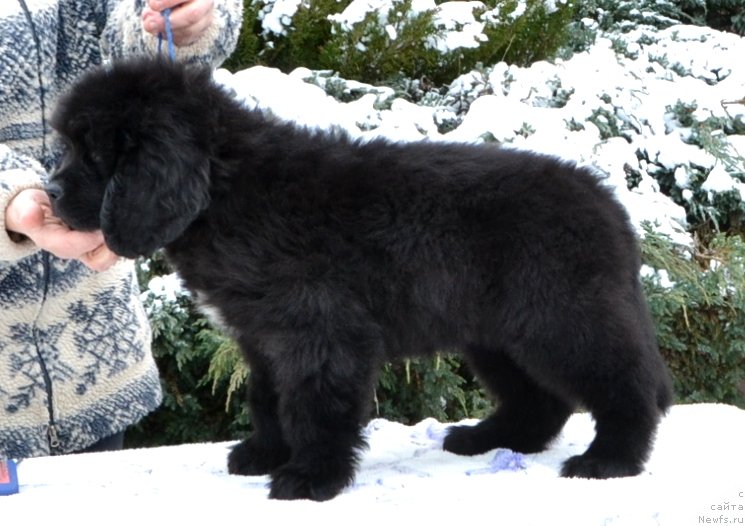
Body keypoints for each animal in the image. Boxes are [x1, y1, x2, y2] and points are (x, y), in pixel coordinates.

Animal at [48, 57, 676, 504]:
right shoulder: (262, 335)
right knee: (540, 399)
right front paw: (264, 453)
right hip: (496, 333)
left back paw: (609, 459)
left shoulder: (319, 331)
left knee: (625, 385)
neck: (226, 192)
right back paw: (489, 439)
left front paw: (311, 476)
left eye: (94, 153)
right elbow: (267, 399)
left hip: (562, 317)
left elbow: (313, 405)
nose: (49, 193)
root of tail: (609, 205)